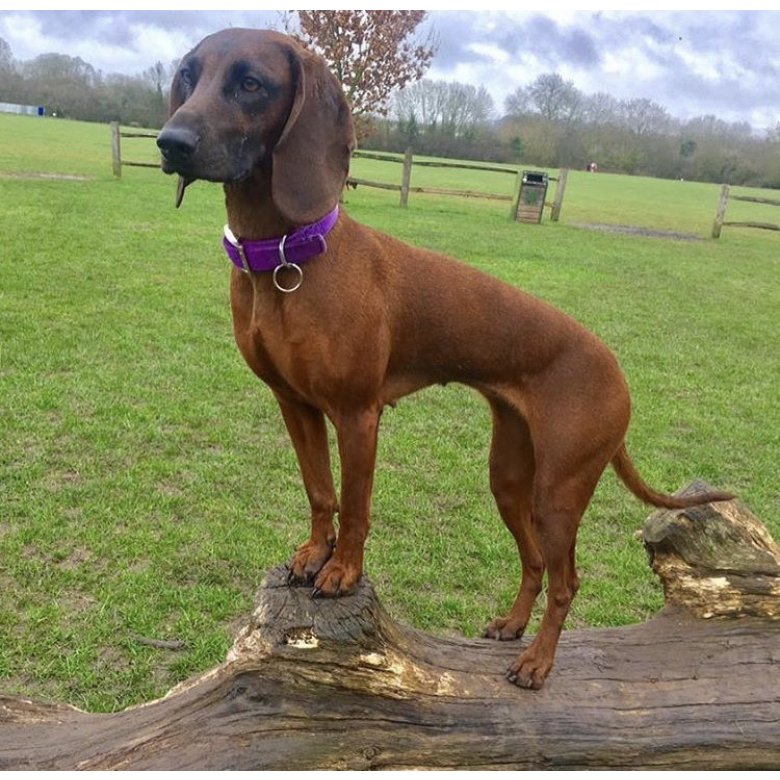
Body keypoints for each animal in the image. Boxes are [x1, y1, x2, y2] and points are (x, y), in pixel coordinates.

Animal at [157, 29, 732, 688]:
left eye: (251, 83)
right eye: (188, 75)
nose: (170, 141)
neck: (283, 257)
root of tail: (616, 371)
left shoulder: (357, 415)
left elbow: (357, 504)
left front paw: (343, 571)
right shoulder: (294, 405)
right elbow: (320, 492)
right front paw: (313, 554)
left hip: (560, 491)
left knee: (566, 580)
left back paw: (537, 661)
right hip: (508, 477)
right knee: (534, 562)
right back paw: (512, 626)